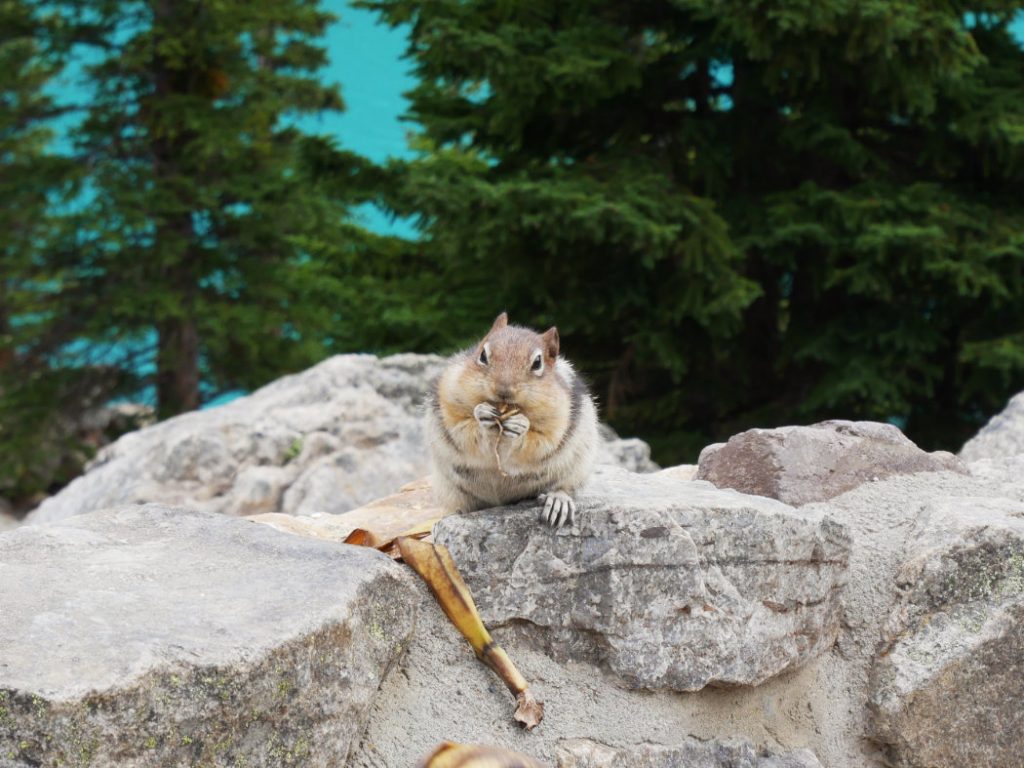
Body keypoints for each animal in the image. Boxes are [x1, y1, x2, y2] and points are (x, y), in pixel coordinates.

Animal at [425, 312, 599, 527]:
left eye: (537, 363)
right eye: (482, 355)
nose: (503, 390)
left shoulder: (558, 420)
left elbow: (541, 441)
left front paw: (520, 425)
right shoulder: (449, 402)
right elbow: (461, 427)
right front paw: (481, 413)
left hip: (577, 469)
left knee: (564, 487)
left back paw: (558, 501)